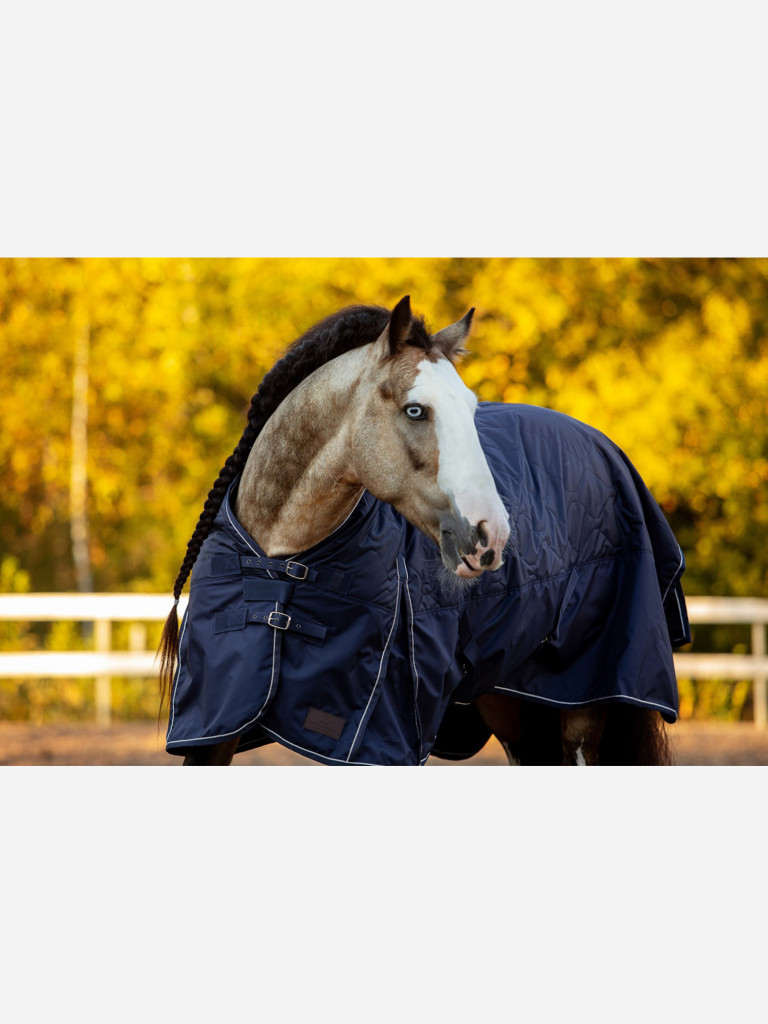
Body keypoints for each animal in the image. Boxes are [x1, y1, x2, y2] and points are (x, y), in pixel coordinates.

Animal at [158, 296, 690, 766]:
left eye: (472, 411)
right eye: (416, 410)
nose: (491, 535)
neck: (283, 563)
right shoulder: (215, 721)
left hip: (586, 697)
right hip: (511, 700)